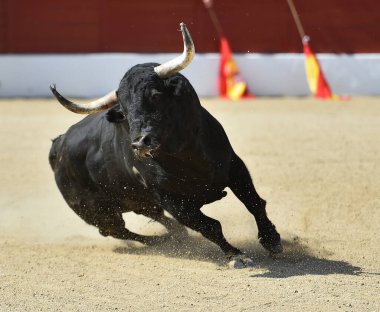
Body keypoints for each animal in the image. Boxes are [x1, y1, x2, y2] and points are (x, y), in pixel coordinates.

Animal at [48, 23, 282, 266]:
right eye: (124, 111)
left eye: (156, 95)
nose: (140, 142)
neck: (186, 155)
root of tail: (59, 144)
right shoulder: (169, 198)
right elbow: (209, 226)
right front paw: (236, 255)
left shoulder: (234, 166)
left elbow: (254, 202)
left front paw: (271, 240)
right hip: (98, 212)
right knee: (118, 230)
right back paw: (163, 242)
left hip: (138, 203)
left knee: (156, 219)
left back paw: (178, 237)